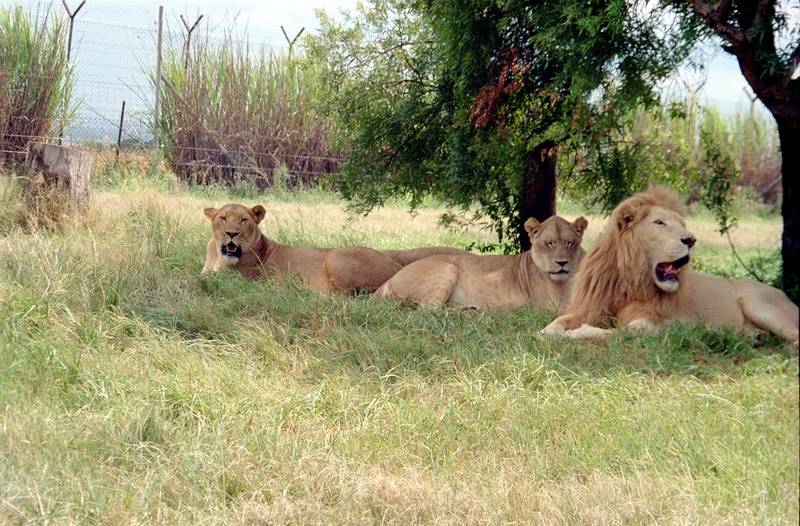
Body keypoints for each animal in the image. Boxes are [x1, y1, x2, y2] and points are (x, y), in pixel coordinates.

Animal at [203, 203, 472, 294]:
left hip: (335, 255)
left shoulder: (238, 278)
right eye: (223, 218)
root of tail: (397, 268)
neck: (217, 256)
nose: (232, 233)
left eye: (244, 220)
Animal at [376, 216, 588, 312]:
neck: (566, 280)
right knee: (429, 310)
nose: (562, 263)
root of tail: (388, 281)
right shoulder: (545, 305)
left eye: (569, 242)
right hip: (448, 268)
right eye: (549, 243)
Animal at [540, 187, 796, 346]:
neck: (629, 280)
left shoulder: (651, 324)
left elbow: (610, 333)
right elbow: (558, 322)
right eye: (660, 223)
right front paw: (545, 332)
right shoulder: (589, 308)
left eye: (682, 224)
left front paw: (578, 333)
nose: (691, 240)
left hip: (756, 303)